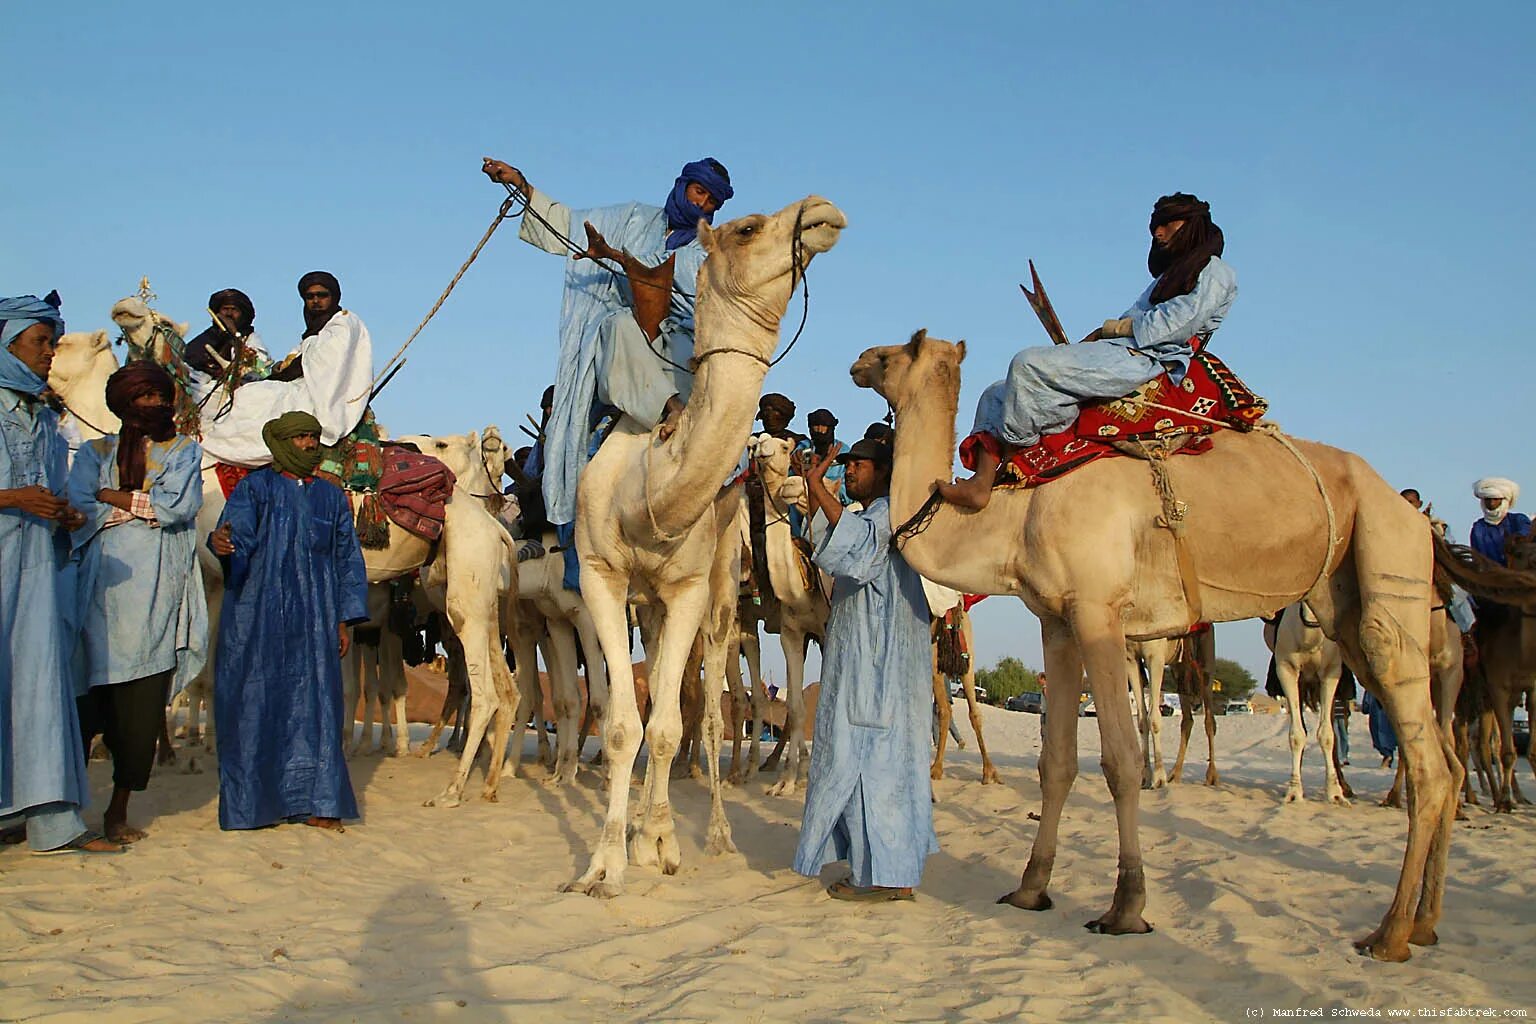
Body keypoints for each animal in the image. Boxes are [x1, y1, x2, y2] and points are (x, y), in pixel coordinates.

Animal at [565, 194, 847, 896]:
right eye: (748, 228)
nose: (822, 210)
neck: (649, 486)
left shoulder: (691, 586)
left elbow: (667, 727)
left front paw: (659, 846)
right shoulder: (601, 575)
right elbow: (623, 725)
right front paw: (605, 864)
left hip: (722, 595)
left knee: (716, 707)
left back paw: (709, 832)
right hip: (649, 604)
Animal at [854, 333, 1486, 964]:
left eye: (892, 354)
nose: (859, 361)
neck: (1014, 513)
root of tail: (1417, 519)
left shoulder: (1098, 610)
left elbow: (1120, 759)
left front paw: (1127, 906)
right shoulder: (1056, 619)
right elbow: (1056, 762)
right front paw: (1030, 889)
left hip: (1387, 561)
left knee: (1427, 759)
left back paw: (1391, 933)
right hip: (1344, 600)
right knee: (1446, 758)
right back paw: (1426, 923)